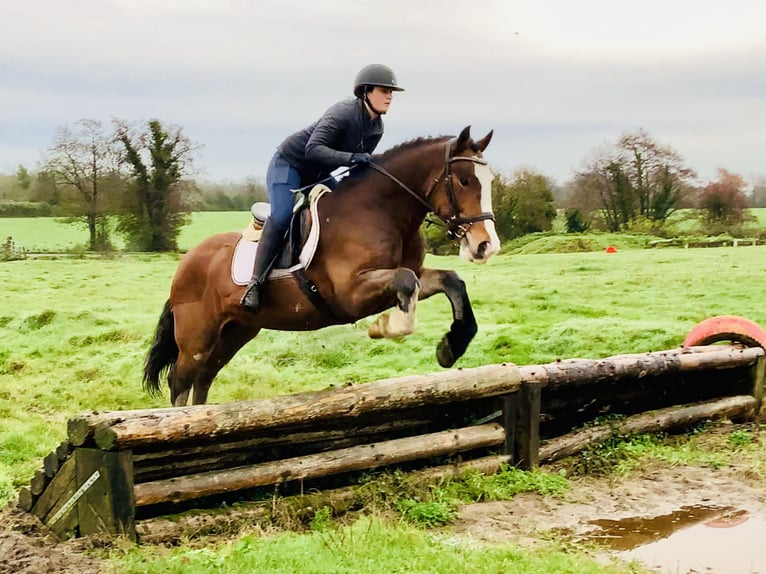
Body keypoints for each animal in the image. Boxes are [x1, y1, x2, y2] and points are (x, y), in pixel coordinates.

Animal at [143, 126, 500, 406]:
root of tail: (186, 262)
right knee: (181, 380)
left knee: (204, 377)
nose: (486, 245)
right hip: (196, 335)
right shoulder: (351, 293)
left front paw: (451, 346)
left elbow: (449, 281)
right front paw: (388, 327)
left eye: (489, 180)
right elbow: (405, 280)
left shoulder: (405, 279)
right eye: (464, 180)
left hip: (237, 330)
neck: (381, 210)